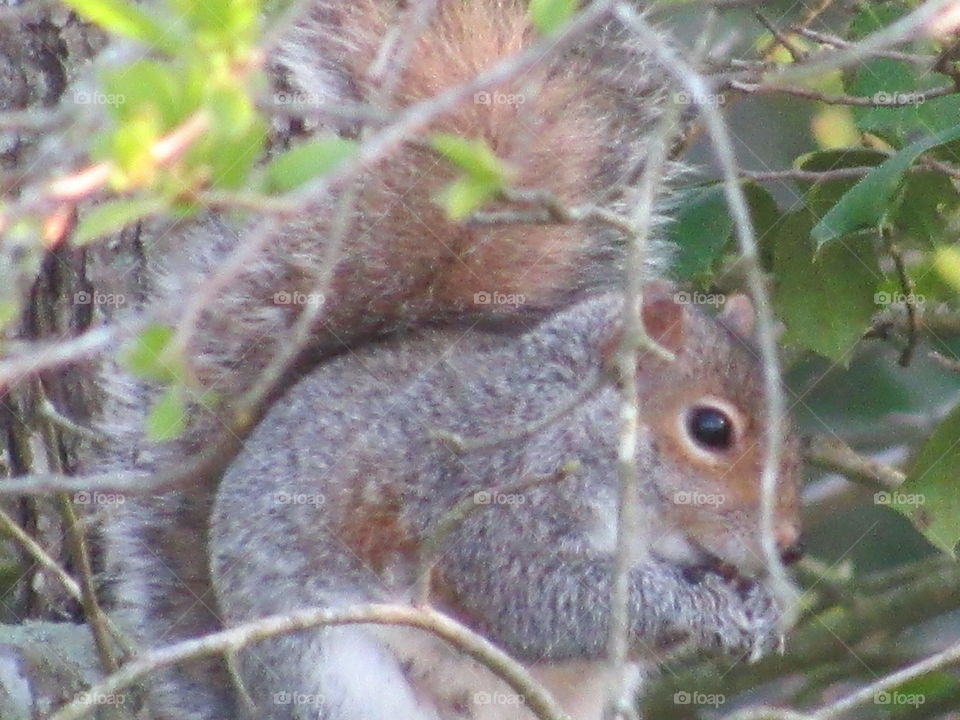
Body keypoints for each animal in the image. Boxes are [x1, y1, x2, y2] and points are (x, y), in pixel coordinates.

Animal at [90, 2, 805, 720]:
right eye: (710, 429)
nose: (789, 547)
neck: (584, 426)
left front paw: (766, 605)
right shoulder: (489, 493)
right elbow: (542, 599)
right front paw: (702, 606)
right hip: (331, 674)